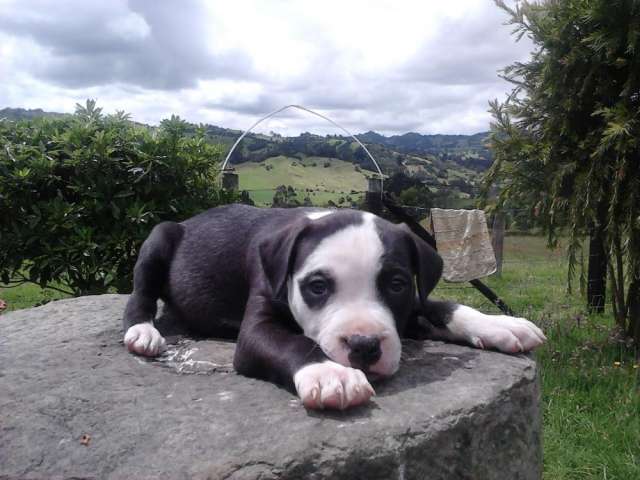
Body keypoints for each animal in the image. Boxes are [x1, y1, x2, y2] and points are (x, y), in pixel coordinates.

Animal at [124, 204, 544, 410]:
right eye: (318, 287)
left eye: (396, 284)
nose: (364, 346)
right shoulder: (257, 328)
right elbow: (292, 342)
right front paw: (331, 375)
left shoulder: (408, 309)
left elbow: (445, 305)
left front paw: (500, 324)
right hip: (159, 236)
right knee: (139, 295)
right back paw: (143, 332)